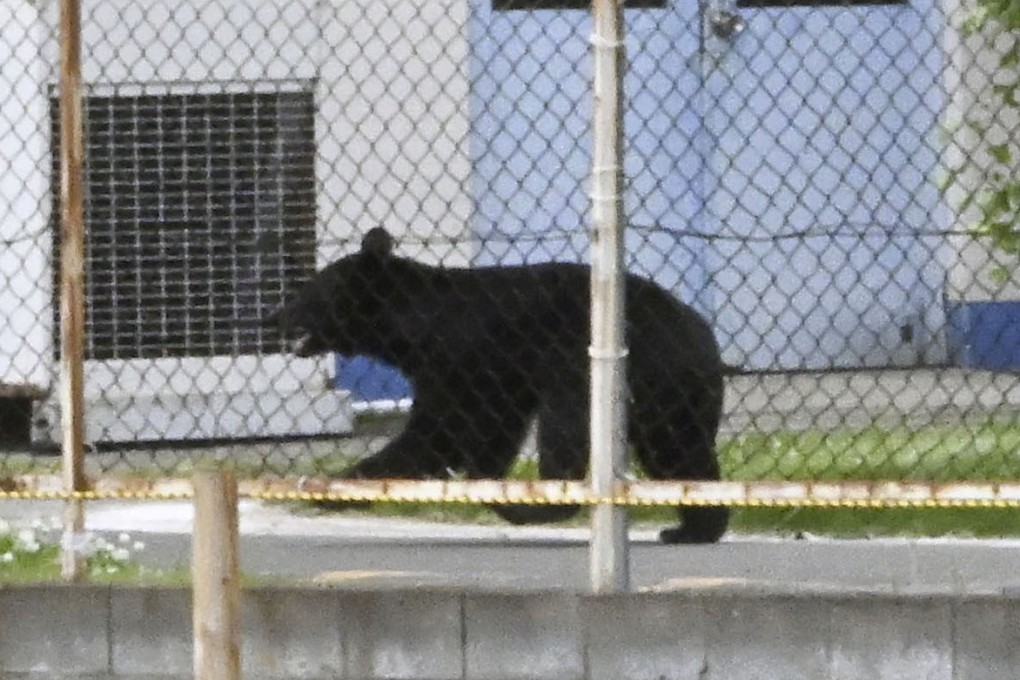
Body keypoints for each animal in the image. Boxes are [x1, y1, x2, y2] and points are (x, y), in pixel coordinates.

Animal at [269, 227, 729, 544]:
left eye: (308, 290)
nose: (276, 316)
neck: (413, 328)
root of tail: (702, 336)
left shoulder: (466, 359)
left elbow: (443, 431)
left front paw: (331, 489)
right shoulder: (477, 374)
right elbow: (454, 435)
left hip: (615, 368)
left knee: (572, 423)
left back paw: (550, 500)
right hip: (675, 395)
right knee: (679, 452)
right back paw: (695, 526)